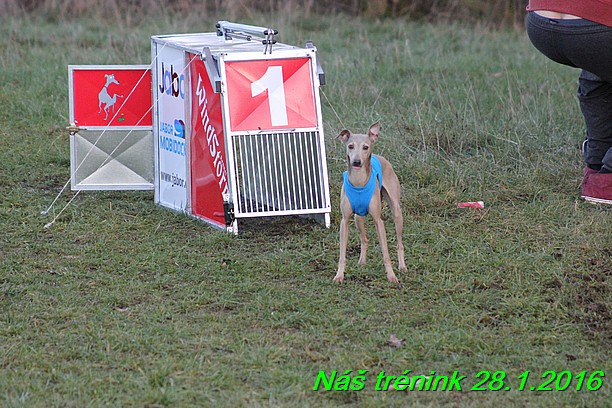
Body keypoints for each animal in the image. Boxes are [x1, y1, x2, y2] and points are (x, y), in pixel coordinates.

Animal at [334, 121, 406, 284]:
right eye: (350, 146)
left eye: (366, 147)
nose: (356, 162)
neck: (359, 182)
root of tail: (380, 157)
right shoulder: (345, 220)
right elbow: (342, 254)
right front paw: (339, 275)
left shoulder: (378, 221)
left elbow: (386, 253)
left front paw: (391, 276)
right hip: (357, 218)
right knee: (364, 238)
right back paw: (362, 262)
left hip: (397, 213)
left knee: (399, 243)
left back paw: (402, 266)